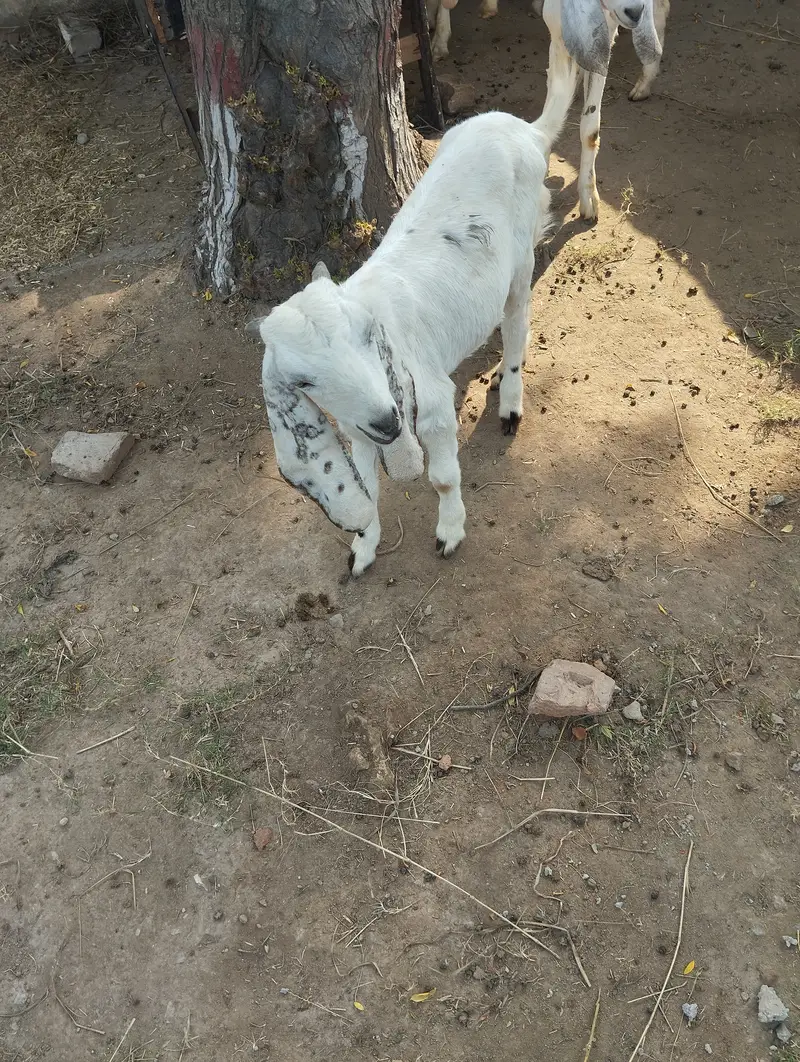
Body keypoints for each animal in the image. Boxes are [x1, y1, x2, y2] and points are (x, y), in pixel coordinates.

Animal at [253, 81, 574, 576]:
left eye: (367, 335)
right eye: (303, 382)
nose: (388, 420)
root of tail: (526, 130)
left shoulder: (431, 400)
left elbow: (441, 478)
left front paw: (450, 532)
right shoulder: (357, 428)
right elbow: (367, 488)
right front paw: (363, 550)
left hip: (520, 258)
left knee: (517, 320)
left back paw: (510, 399)